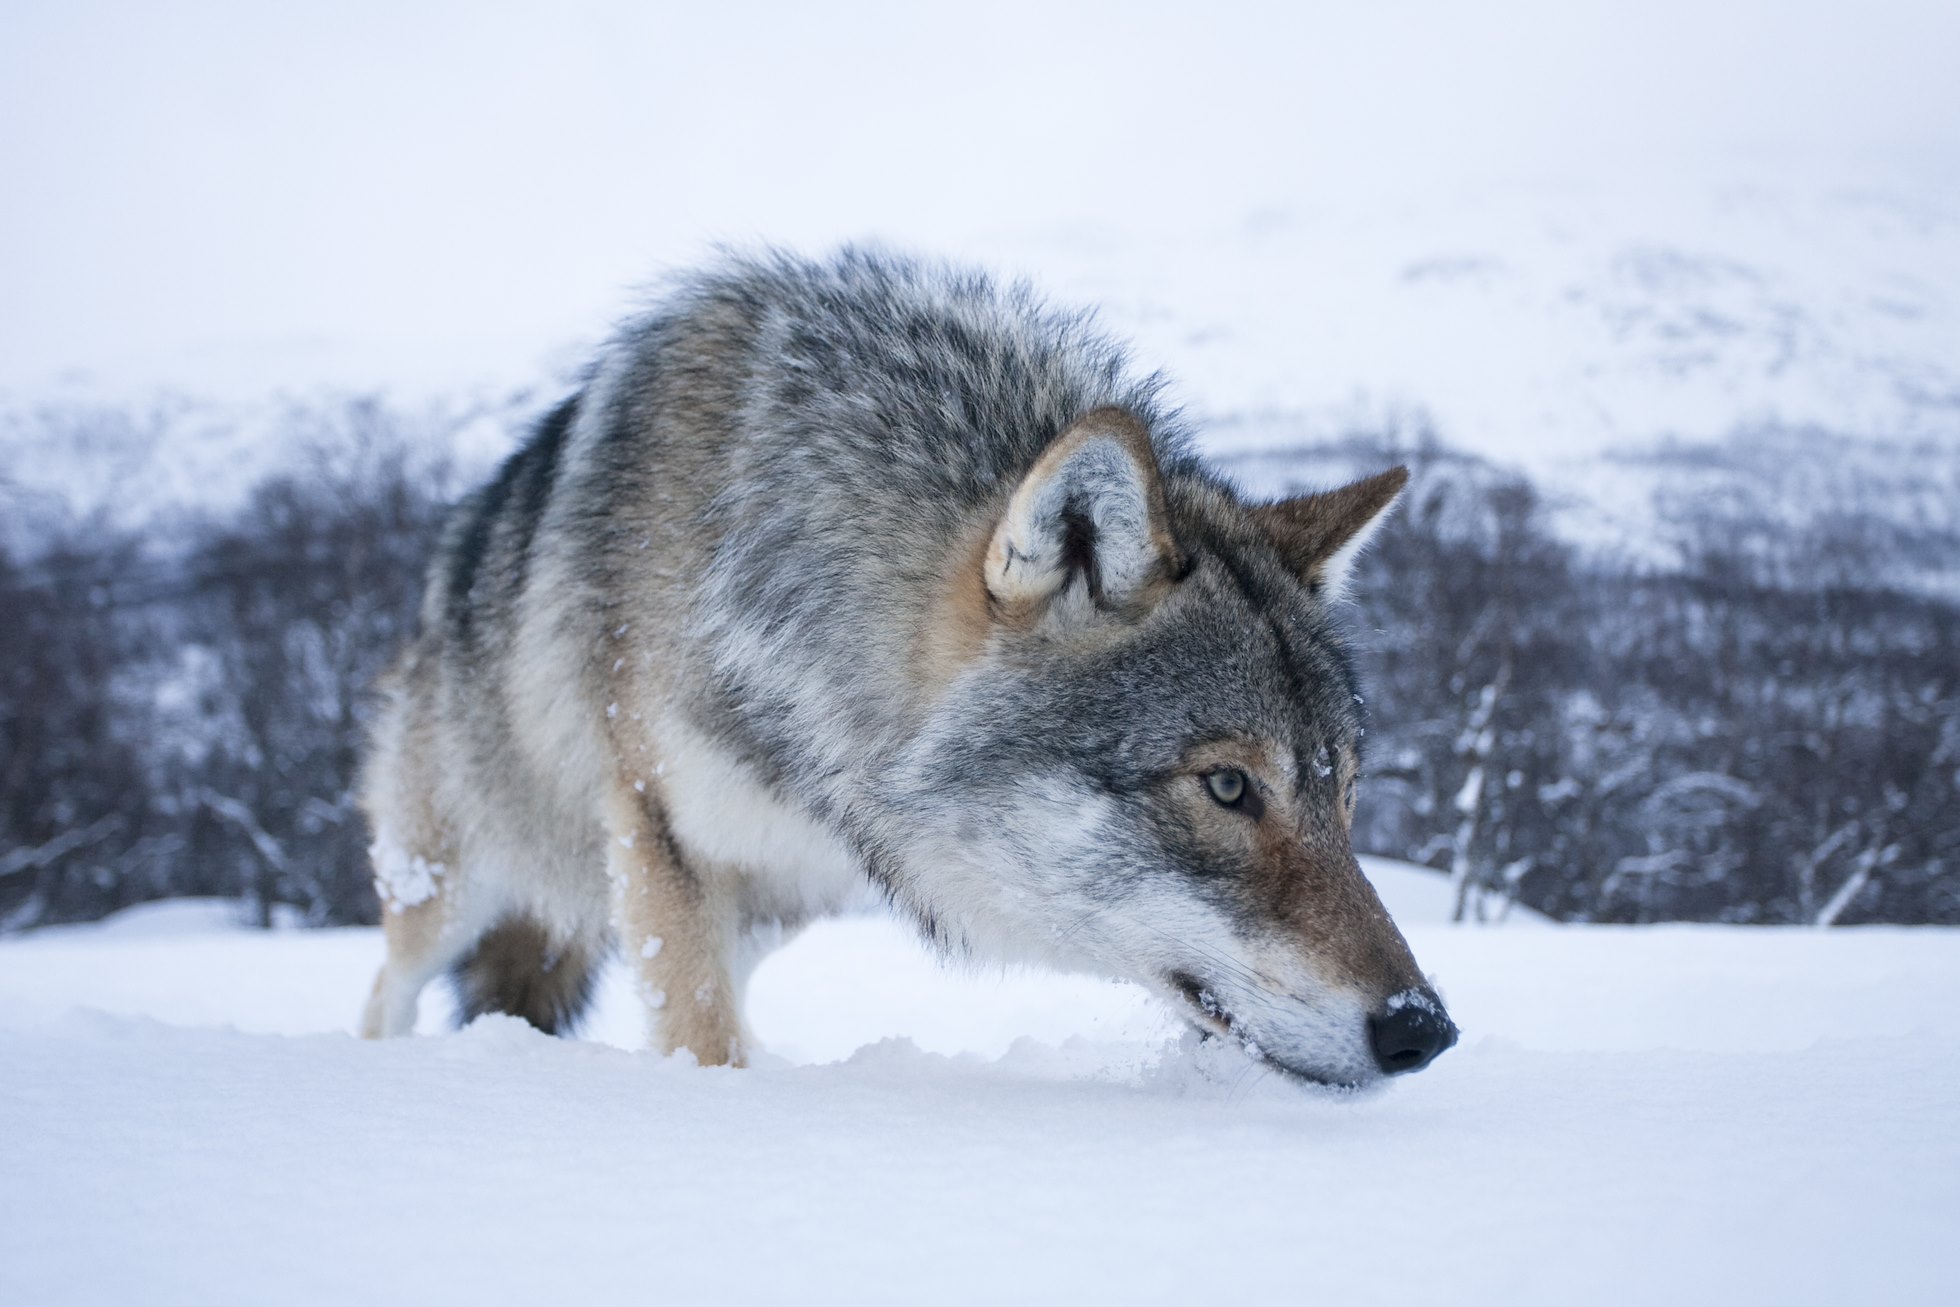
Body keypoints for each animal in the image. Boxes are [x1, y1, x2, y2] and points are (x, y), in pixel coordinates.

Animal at [356, 244, 1458, 1081]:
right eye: (1228, 786)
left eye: (1344, 793)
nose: (1425, 1028)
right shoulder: (664, 842)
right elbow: (702, 1040)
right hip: (449, 880)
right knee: (386, 987)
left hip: (764, 907)